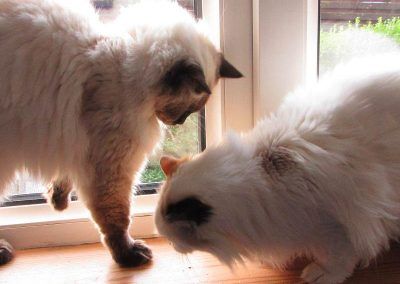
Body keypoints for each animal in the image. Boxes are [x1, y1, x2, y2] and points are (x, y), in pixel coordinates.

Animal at [0, 0, 241, 266]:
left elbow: (65, 177)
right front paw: (128, 255)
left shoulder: (78, 148)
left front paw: (58, 201)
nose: (179, 122)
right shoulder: (112, 167)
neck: (122, 64)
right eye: (191, 108)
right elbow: (117, 218)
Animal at [155, 53, 400, 284]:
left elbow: (339, 259)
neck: (263, 176)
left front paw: (322, 274)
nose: (172, 246)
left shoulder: (333, 227)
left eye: (173, 239)